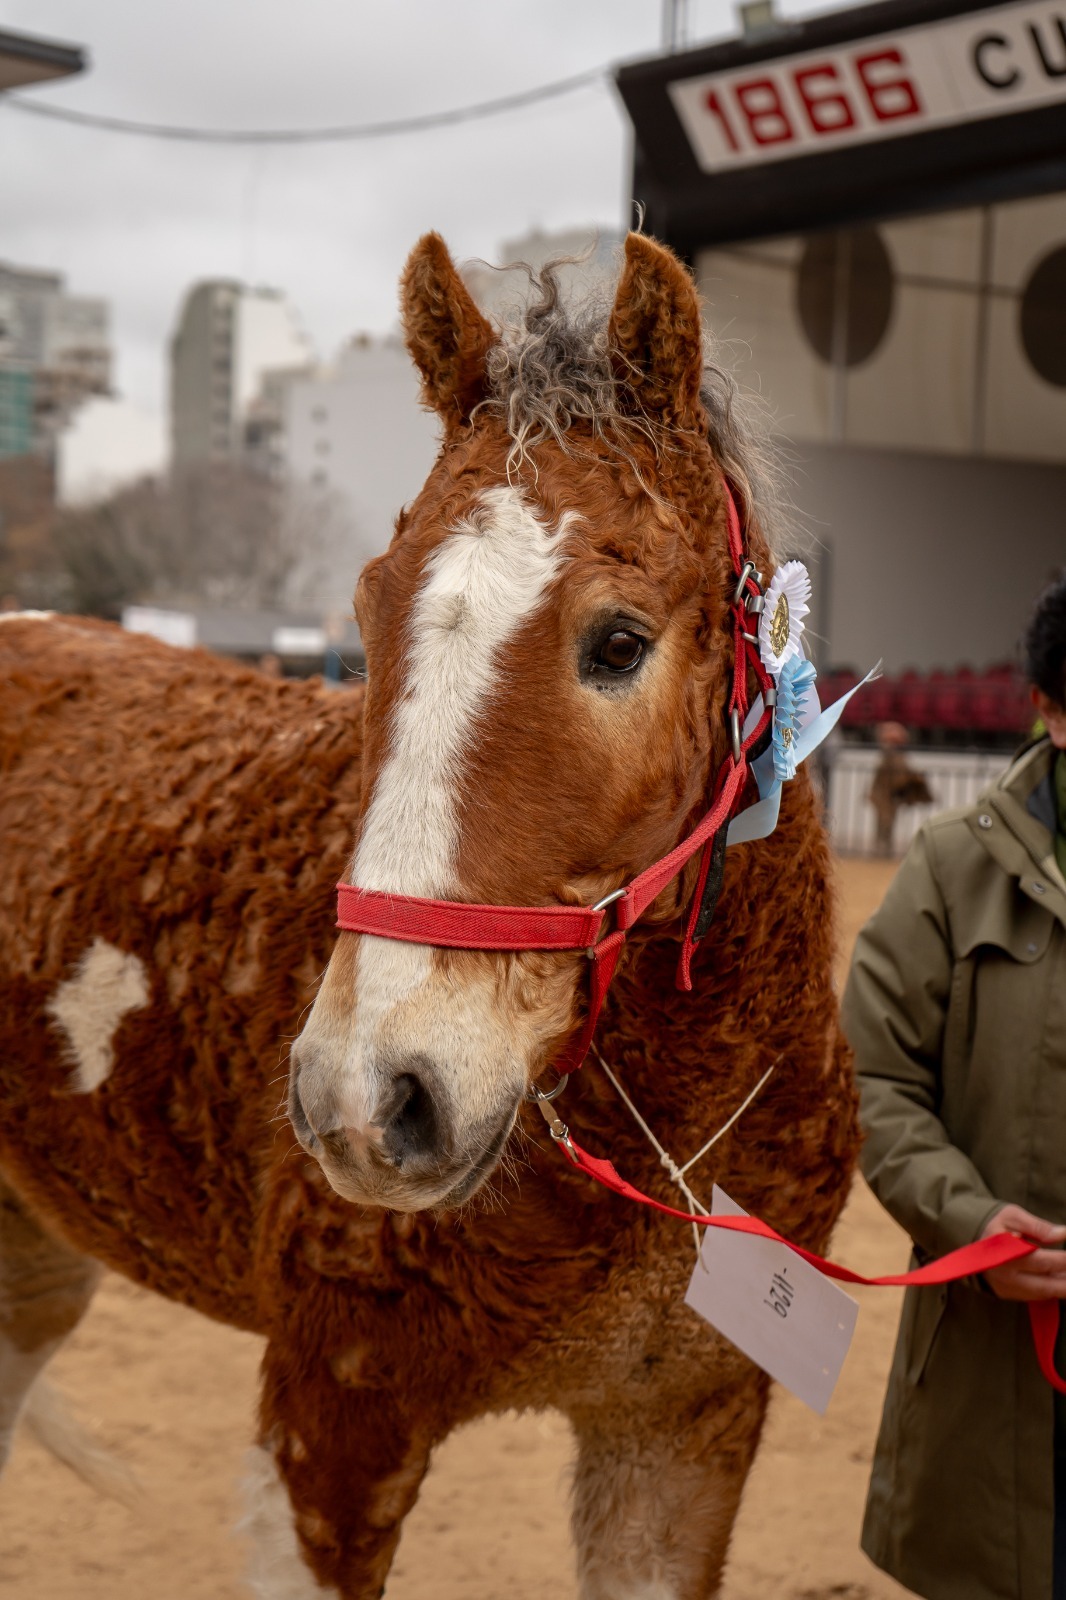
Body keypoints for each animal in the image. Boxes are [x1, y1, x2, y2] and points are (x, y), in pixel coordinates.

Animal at [0, 231, 859, 1599]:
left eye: (618, 643)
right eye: (367, 609)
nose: (367, 1097)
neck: (663, 1141)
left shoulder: (683, 1436)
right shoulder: (335, 1428)